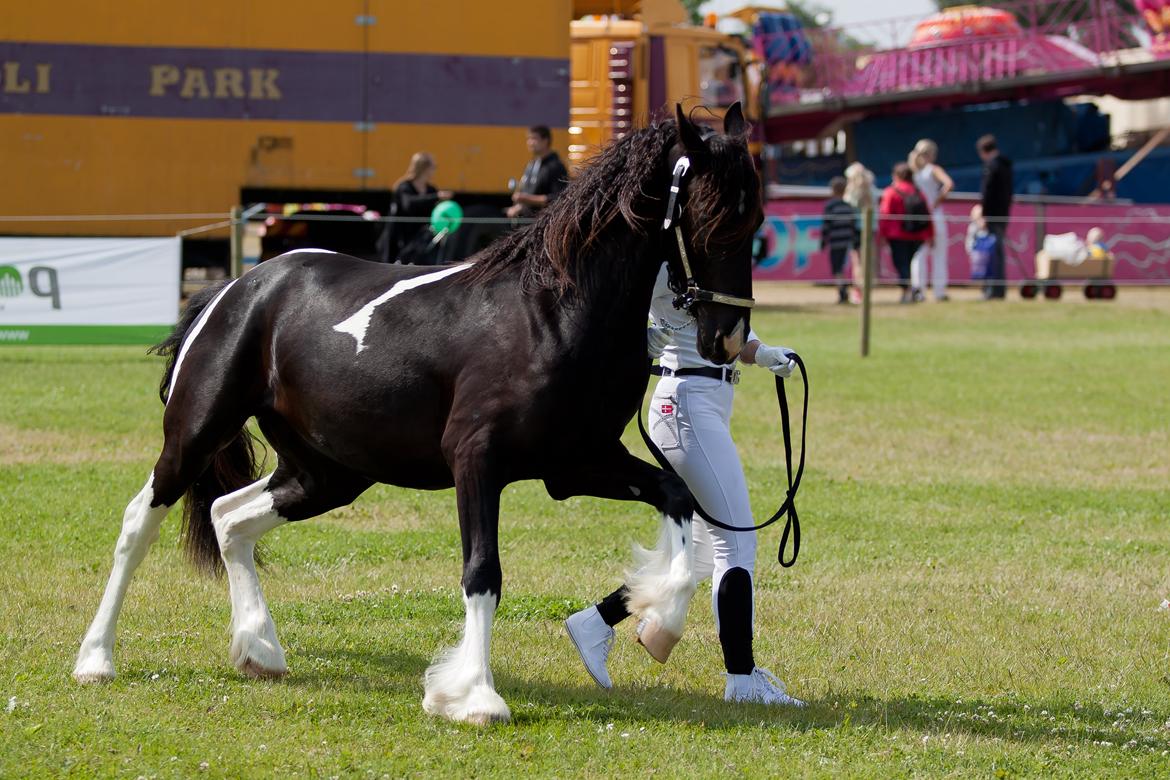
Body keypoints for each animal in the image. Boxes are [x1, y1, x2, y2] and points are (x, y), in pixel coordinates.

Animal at [77, 105, 762, 725]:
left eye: (755, 219)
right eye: (709, 216)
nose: (727, 340)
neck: (550, 314)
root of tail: (237, 288)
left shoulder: (581, 464)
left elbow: (677, 498)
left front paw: (659, 624)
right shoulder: (476, 461)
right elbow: (483, 572)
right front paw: (472, 696)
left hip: (327, 474)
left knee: (228, 518)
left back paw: (259, 650)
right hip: (196, 434)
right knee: (140, 522)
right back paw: (96, 660)